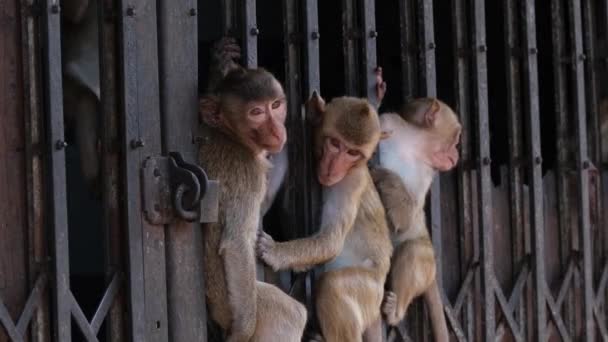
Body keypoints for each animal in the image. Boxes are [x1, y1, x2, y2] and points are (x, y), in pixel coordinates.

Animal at [200, 52, 306, 340]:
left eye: (276, 105)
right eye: (256, 112)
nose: (278, 131)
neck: (231, 136)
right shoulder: (246, 172)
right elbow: (237, 242)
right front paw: (242, 331)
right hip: (233, 306)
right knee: (291, 315)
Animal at [258, 94, 394, 342]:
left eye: (353, 153)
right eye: (335, 144)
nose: (333, 168)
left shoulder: (351, 179)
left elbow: (331, 240)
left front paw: (275, 252)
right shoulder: (288, 143)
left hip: (370, 292)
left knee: (333, 285)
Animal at [370, 97, 460, 340]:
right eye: (456, 138)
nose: (457, 155)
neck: (413, 145)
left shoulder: (427, 173)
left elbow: (407, 219)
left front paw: (383, 175)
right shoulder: (387, 121)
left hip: (428, 263)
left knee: (414, 250)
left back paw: (396, 311)